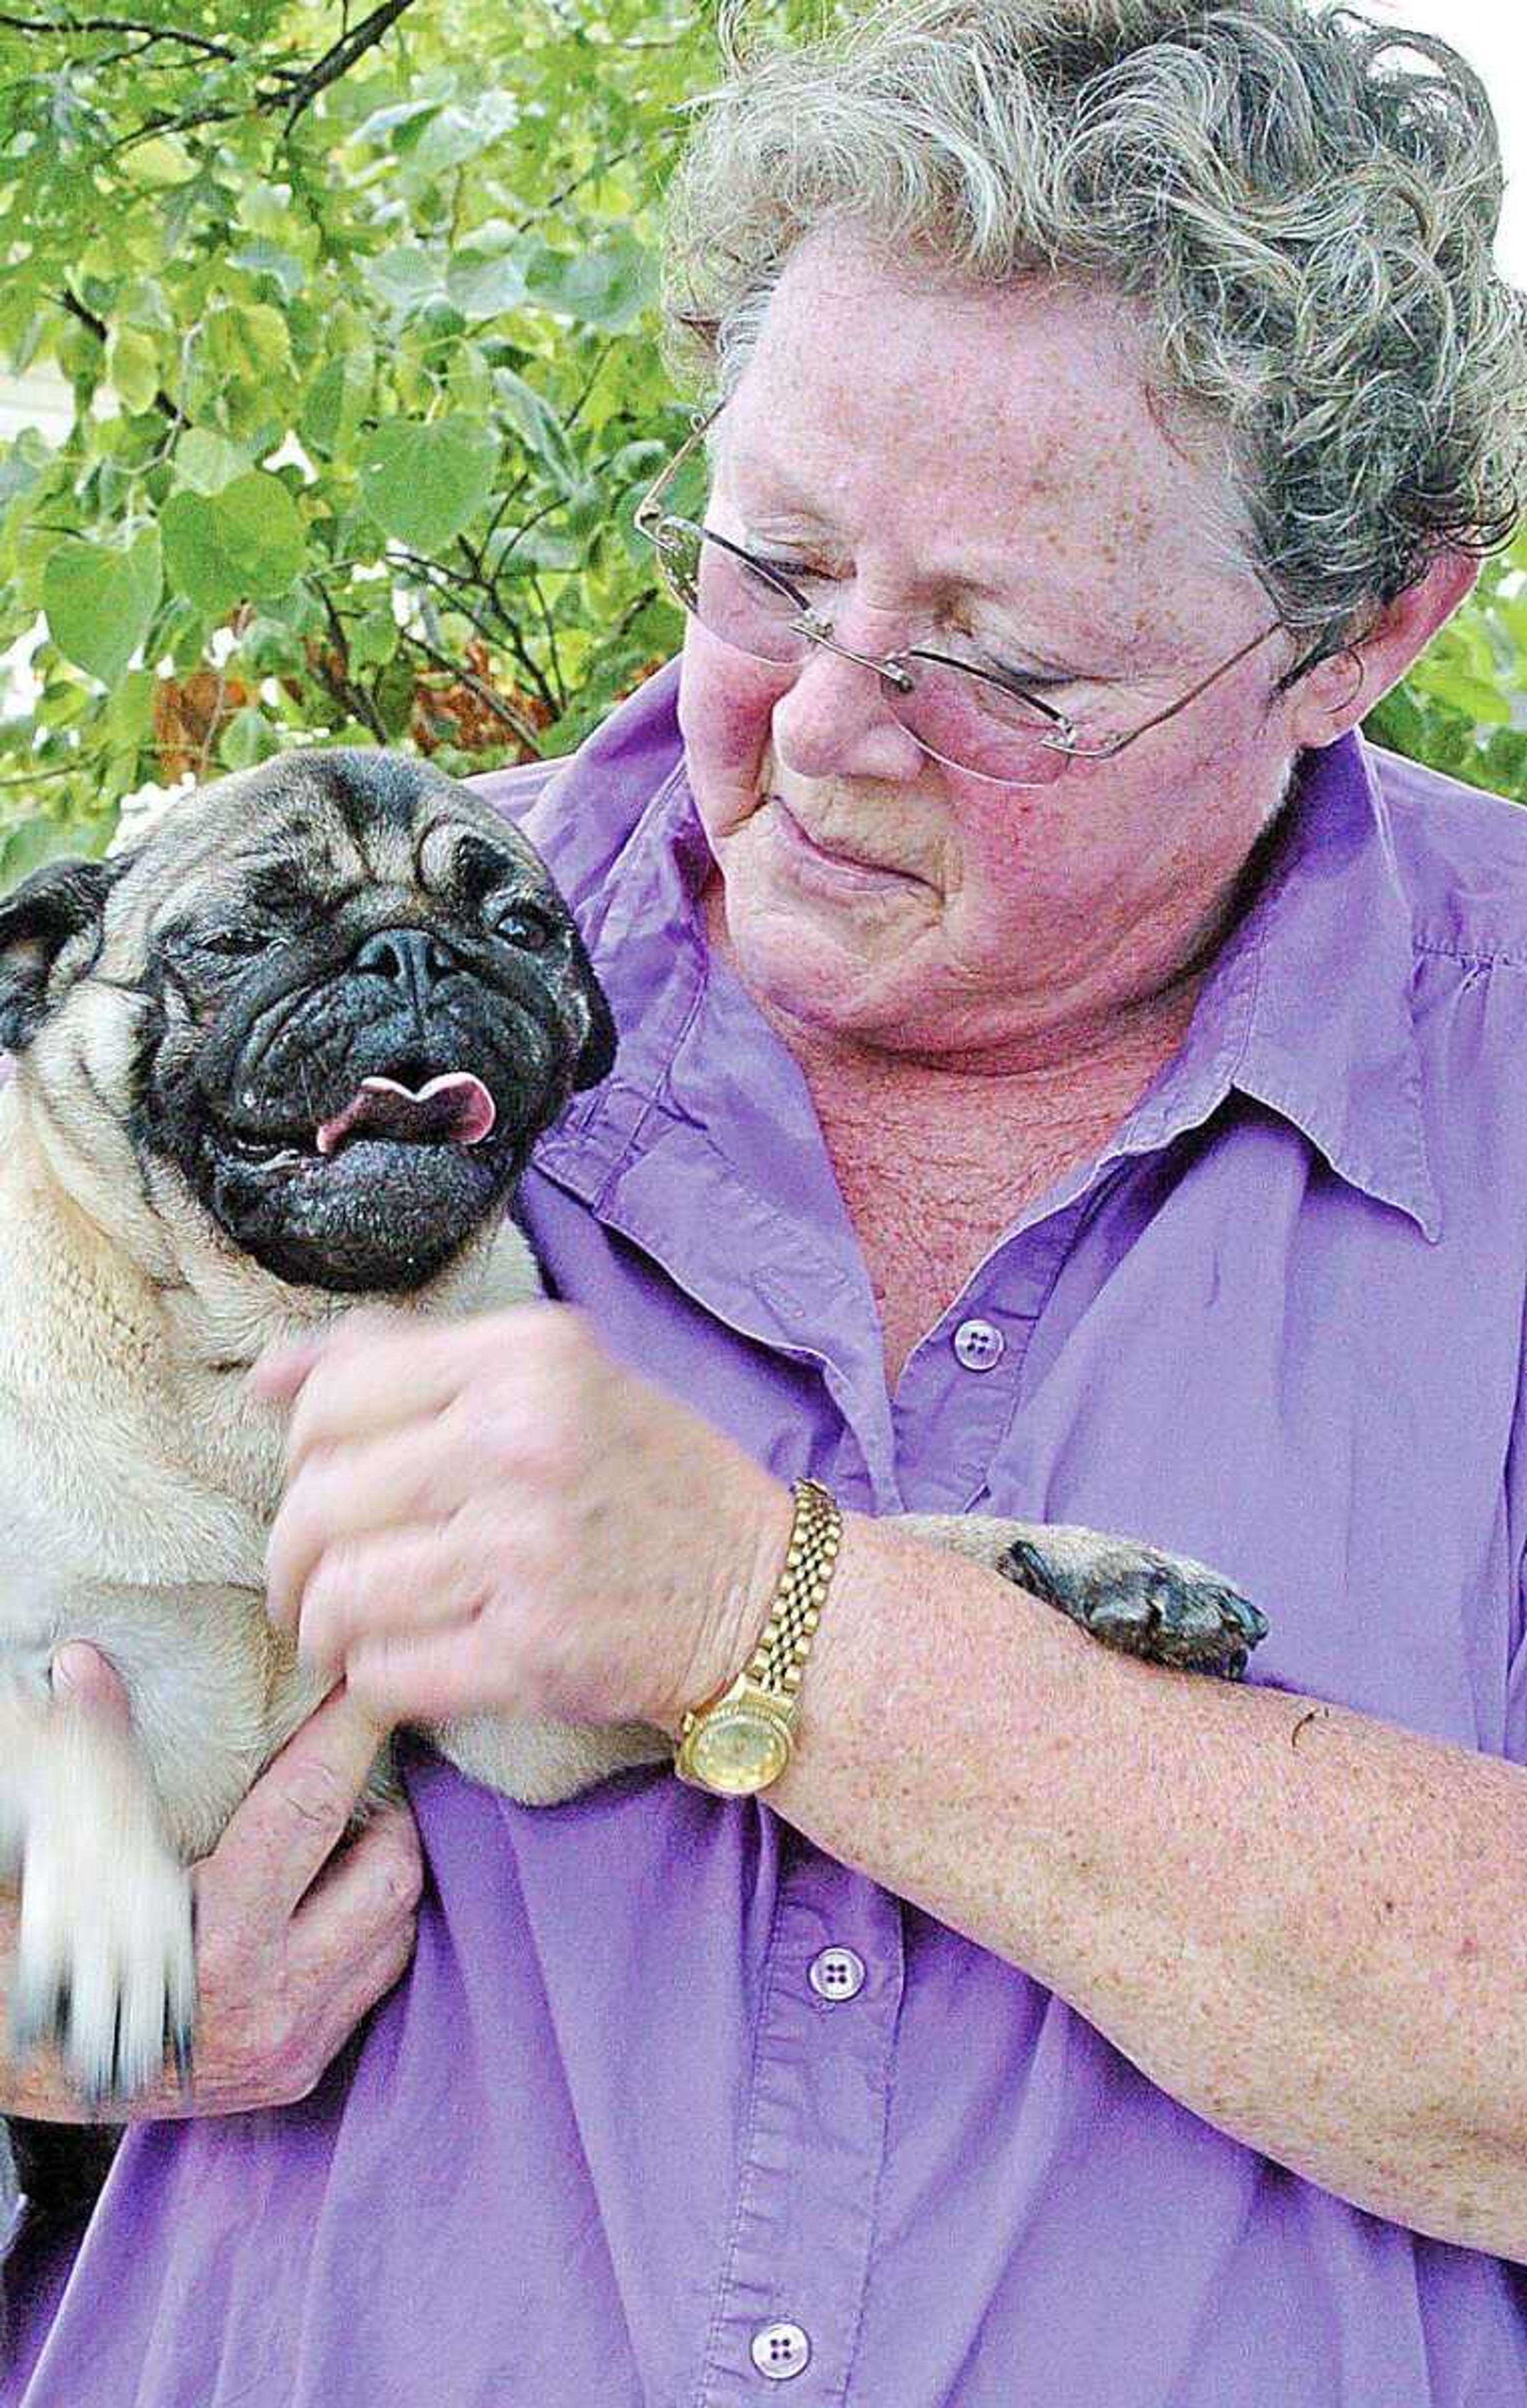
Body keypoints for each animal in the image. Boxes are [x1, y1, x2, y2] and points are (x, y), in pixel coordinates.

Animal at [0, 746, 1262, 2148]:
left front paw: (1086, 1564)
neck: (273, 1356)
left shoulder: (518, 1703)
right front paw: (115, 1925)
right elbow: (75, 1732)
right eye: (233, 939)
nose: (410, 952)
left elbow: (903, 1541)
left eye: (519, 927)